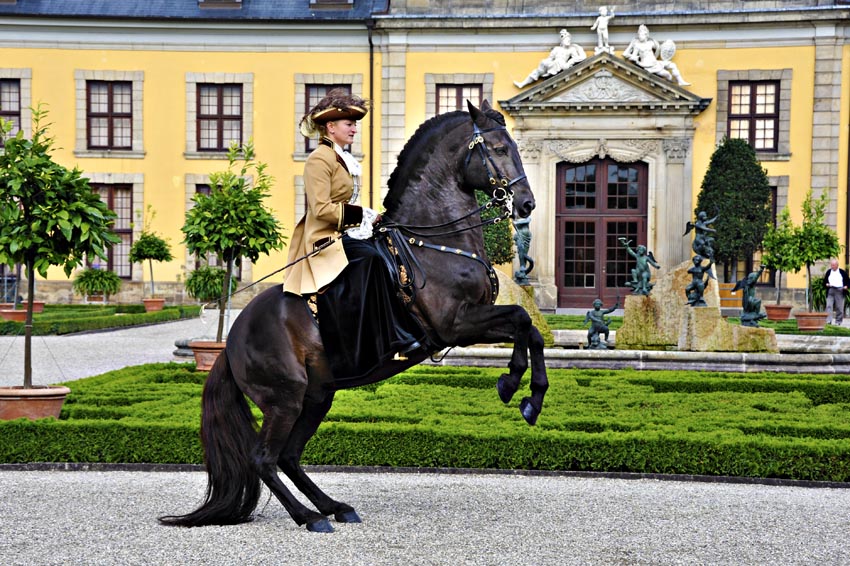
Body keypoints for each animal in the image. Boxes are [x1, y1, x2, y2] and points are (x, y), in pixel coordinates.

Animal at [159, 100, 549, 532]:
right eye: (498, 148)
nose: (527, 203)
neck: (431, 241)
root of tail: (230, 343)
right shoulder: (455, 324)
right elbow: (521, 319)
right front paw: (512, 383)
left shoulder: (469, 322)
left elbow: (529, 328)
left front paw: (529, 397)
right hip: (285, 399)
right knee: (264, 458)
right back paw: (309, 517)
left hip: (317, 396)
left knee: (288, 457)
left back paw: (333, 506)